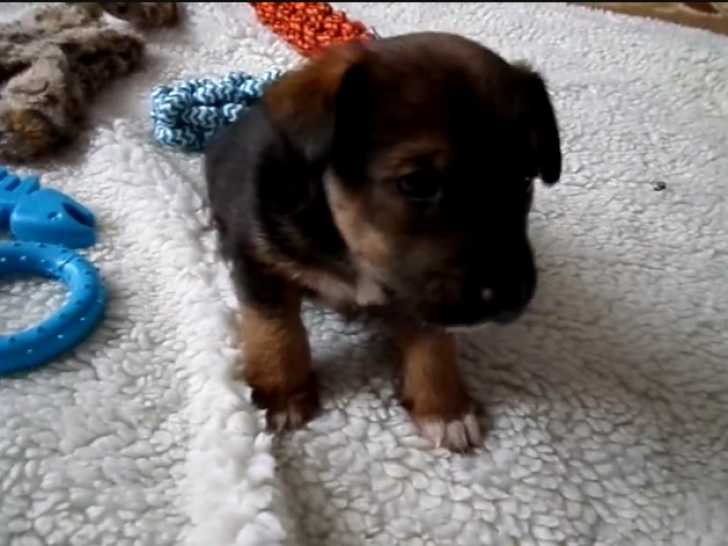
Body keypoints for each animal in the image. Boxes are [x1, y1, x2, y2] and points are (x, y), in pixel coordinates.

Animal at [205, 31, 561, 452]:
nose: (511, 298)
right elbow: (273, 327)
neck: (345, 236)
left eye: (524, 179)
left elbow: (432, 341)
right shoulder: (259, 259)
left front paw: (444, 408)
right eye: (418, 183)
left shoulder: (419, 292)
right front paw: (281, 393)